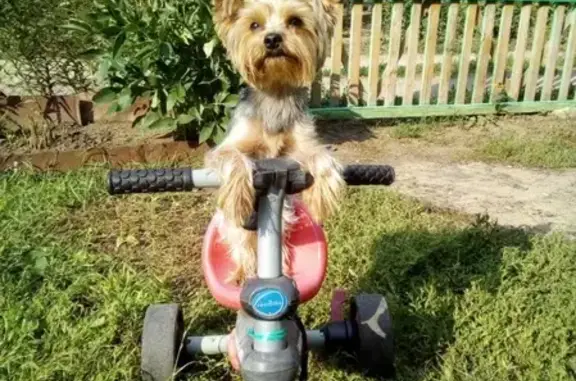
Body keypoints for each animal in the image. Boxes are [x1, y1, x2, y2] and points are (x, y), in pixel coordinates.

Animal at [206, 0, 344, 282]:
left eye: (295, 21)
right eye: (254, 25)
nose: (271, 39)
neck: (275, 95)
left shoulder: (300, 147)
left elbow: (319, 155)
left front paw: (322, 192)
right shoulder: (228, 145)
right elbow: (232, 157)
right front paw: (239, 192)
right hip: (233, 225)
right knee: (242, 242)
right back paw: (242, 271)